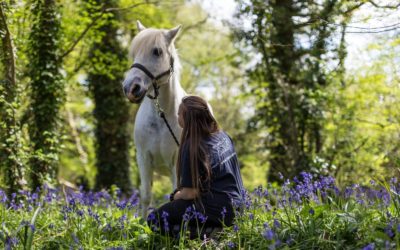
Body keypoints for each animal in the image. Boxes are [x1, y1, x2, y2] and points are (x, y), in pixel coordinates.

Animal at [122, 21, 186, 217]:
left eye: (157, 51)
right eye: (134, 52)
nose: (130, 88)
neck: (160, 119)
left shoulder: (176, 163)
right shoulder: (143, 159)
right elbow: (145, 196)